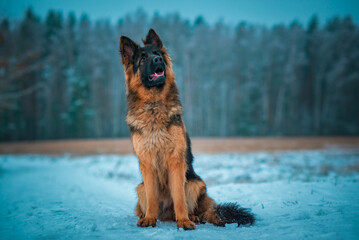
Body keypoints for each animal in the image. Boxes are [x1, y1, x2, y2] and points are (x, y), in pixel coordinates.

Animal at [119, 29, 255, 230]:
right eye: (142, 59)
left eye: (157, 54)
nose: (158, 60)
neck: (154, 106)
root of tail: (167, 215)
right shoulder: (147, 162)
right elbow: (152, 198)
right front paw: (150, 219)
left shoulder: (176, 161)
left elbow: (179, 197)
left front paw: (183, 221)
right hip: (140, 187)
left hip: (195, 183)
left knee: (194, 206)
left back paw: (192, 217)